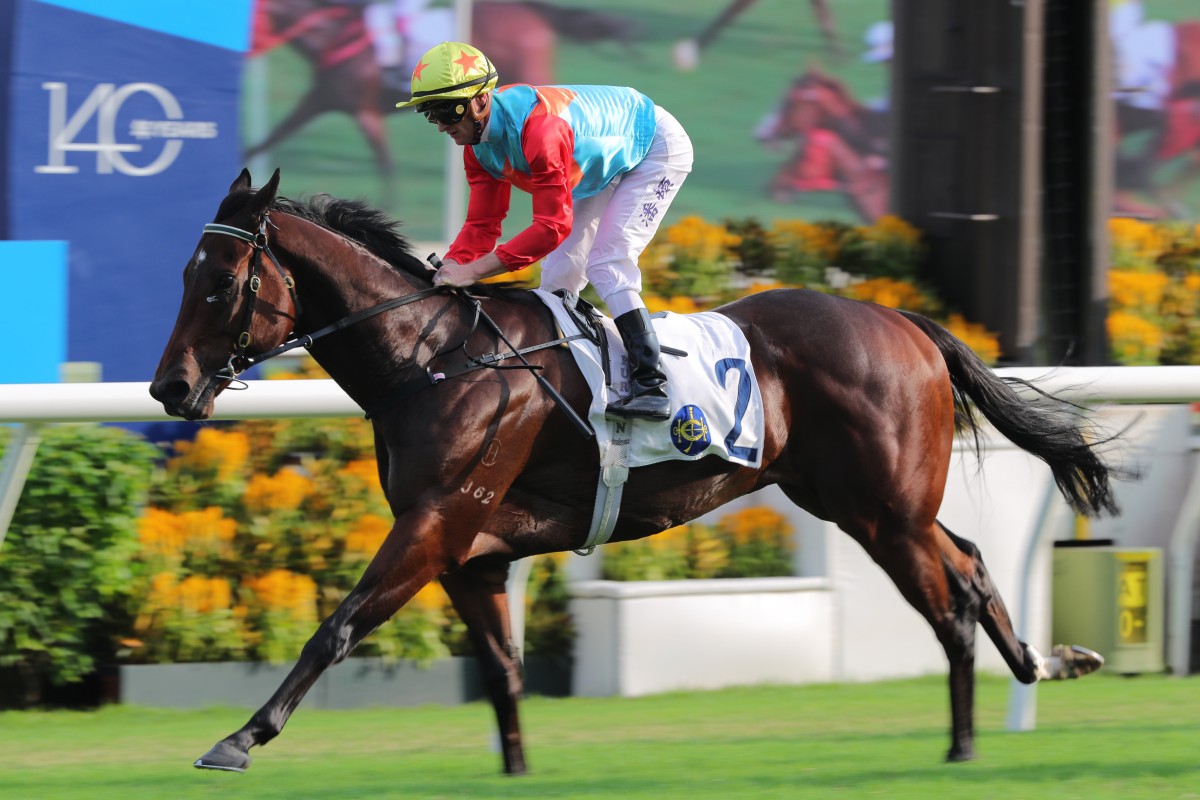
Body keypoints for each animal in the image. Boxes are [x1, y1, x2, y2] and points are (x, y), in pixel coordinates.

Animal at [147, 169, 1113, 777]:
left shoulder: (434, 522)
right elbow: (500, 668)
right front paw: (516, 767)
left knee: (948, 598)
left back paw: (963, 743)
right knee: (971, 562)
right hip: (859, 499)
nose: (170, 388)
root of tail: (903, 319)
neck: (432, 357)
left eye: (222, 281)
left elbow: (337, 625)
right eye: (183, 275)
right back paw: (1045, 664)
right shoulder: (472, 552)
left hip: (880, 507)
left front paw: (239, 738)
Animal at [242, 0, 638, 190]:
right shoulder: (321, 100)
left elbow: (386, 166)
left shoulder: (365, 112)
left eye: (254, 22)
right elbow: (267, 140)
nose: (243, 54)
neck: (334, 32)